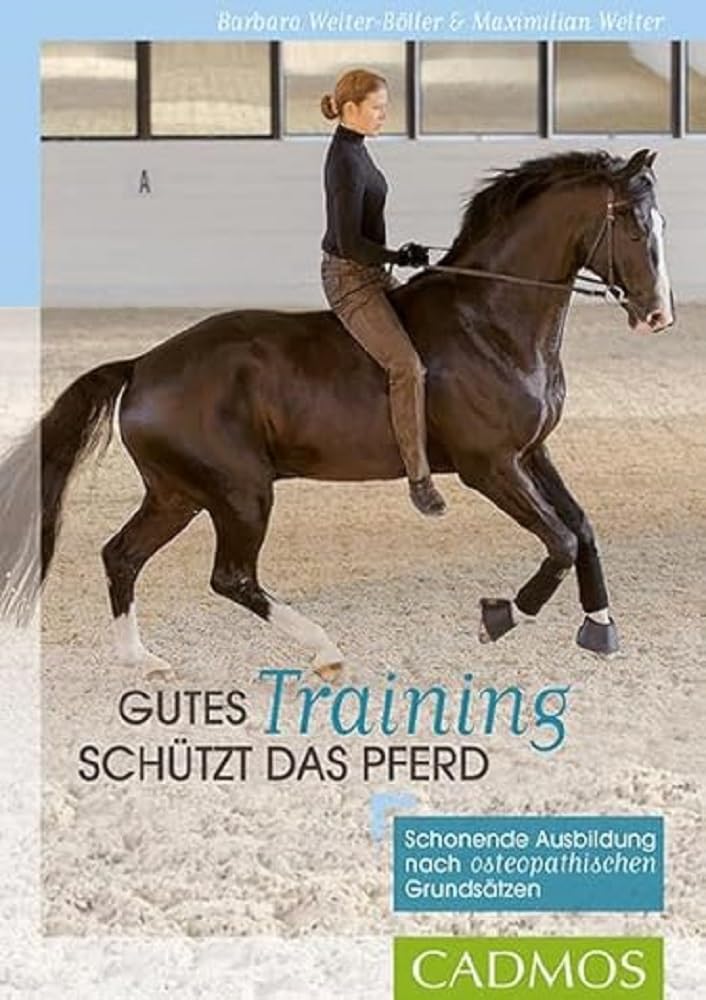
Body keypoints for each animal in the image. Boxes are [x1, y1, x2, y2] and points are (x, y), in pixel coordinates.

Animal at [0, 147, 673, 679]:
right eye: (631, 224)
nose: (658, 315)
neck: (491, 320)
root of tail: (142, 364)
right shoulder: (491, 466)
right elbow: (559, 540)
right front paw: (501, 616)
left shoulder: (533, 452)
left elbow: (582, 528)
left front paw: (600, 627)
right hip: (240, 493)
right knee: (230, 577)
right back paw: (325, 650)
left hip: (178, 494)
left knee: (123, 555)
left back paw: (143, 660)